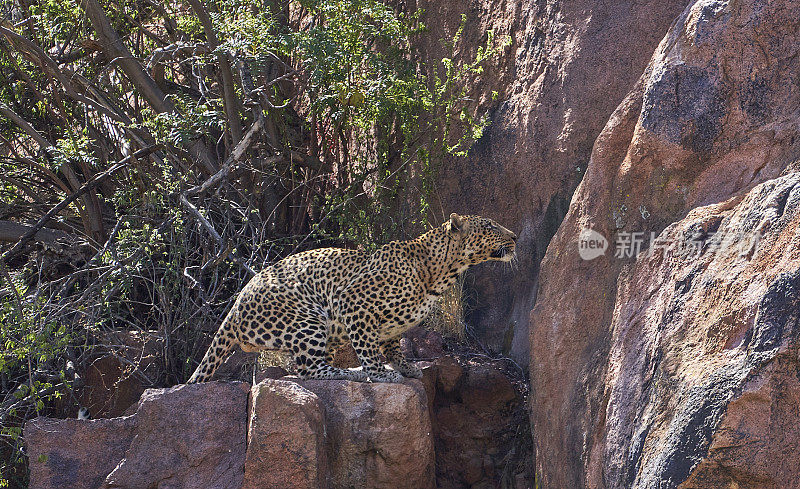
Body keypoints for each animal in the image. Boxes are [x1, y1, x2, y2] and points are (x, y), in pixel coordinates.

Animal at [187, 212, 516, 384]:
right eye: (490, 226)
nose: (514, 236)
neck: (439, 270)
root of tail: (235, 307)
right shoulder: (354, 302)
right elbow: (368, 348)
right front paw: (380, 375)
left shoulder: (390, 324)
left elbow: (392, 346)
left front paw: (405, 367)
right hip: (307, 319)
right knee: (310, 370)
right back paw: (354, 373)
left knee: (309, 368)